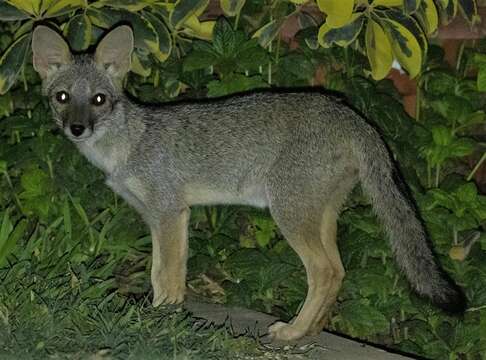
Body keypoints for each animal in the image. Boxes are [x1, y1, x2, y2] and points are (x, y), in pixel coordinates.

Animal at [31, 24, 468, 340]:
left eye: (99, 100)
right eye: (63, 97)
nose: (77, 129)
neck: (129, 143)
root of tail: (349, 112)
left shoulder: (170, 213)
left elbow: (165, 275)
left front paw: (159, 319)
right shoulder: (161, 217)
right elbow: (163, 273)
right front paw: (163, 315)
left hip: (289, 216)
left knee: (324, 271)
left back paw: (292, 333)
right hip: (317, 218)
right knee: (338, 272)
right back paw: (309, 331)